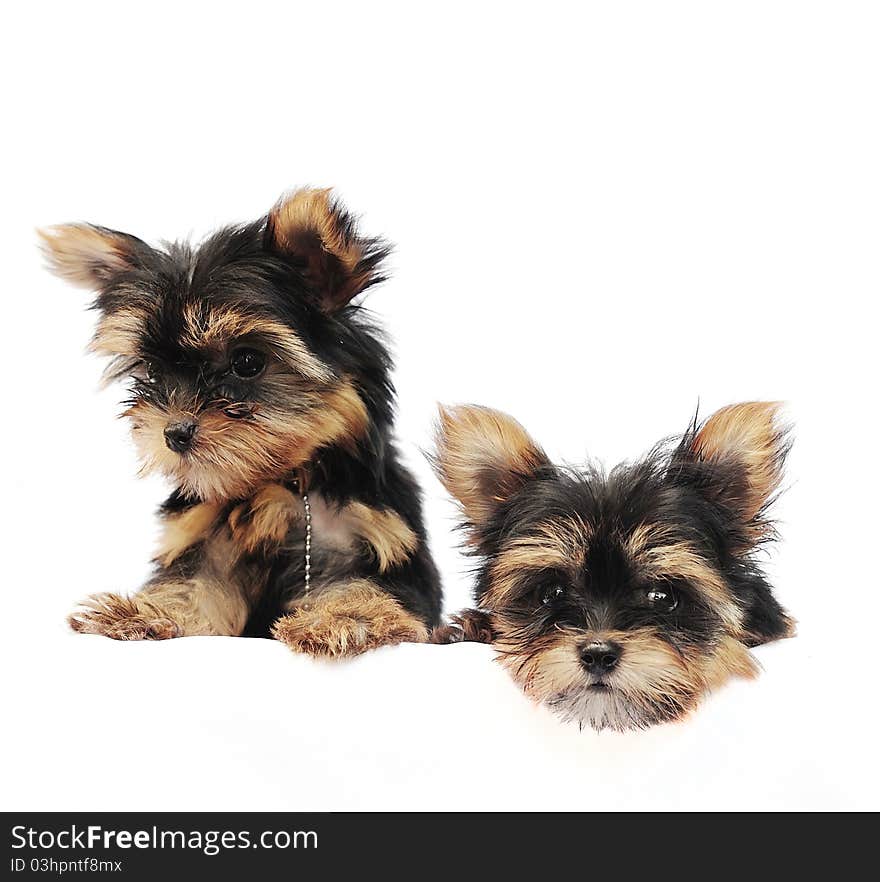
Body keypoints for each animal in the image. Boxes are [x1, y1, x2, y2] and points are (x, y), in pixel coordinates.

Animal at [39, 187, 440, 652]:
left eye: (247, 362)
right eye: (154, 373)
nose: (174, 433)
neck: (289, 483)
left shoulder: (375, 540)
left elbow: (361, 587)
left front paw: (341, 618)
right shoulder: (205, 541)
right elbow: (192, 587)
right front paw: (146, 610)